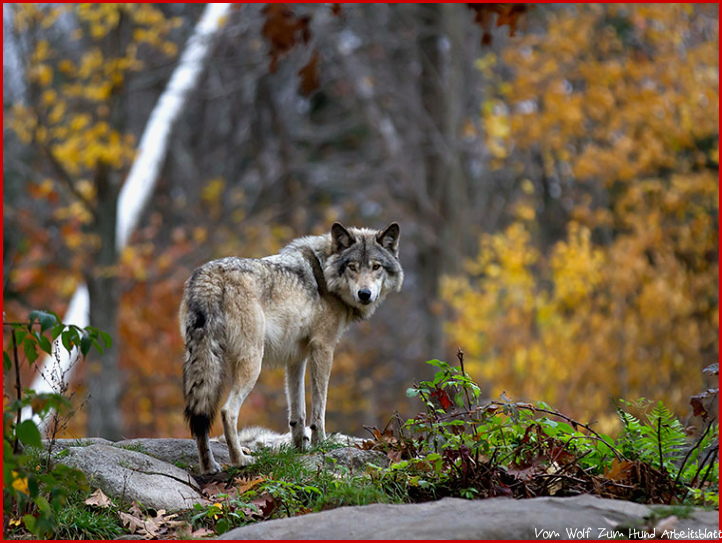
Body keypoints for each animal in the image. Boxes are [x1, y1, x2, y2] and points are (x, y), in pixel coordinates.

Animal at [180, 221, 402, 472]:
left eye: (376, 267)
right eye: (352, 267)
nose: (365, 294)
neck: (324, 274)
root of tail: (209, 277)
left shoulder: (296, 358)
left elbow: (298, 412)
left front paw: (300, 448)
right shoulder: (323, 348)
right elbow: (319, 408)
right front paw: (320, 445)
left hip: (203, 362)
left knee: (200, 417)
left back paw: (209, 466)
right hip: (252, 363)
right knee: (227, 411)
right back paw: (241, 460)